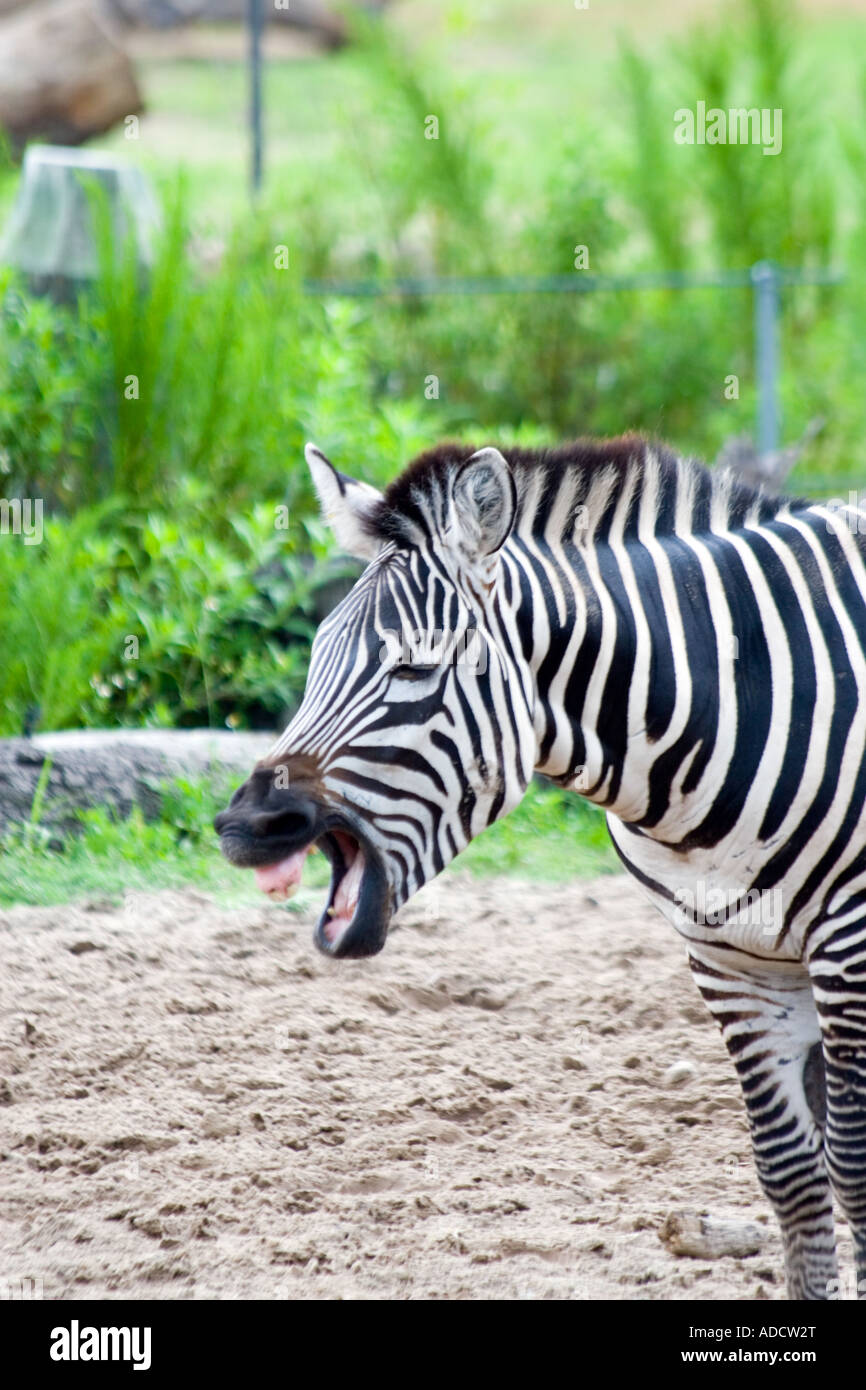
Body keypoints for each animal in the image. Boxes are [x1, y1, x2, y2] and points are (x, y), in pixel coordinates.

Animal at [215, 436, 866, 1301]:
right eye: (317, 656)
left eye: (413, 671)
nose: (246, 827)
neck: (737, 701)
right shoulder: (730, 955)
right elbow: (792, 1172)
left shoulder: (851, 943)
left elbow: (852, 1170)